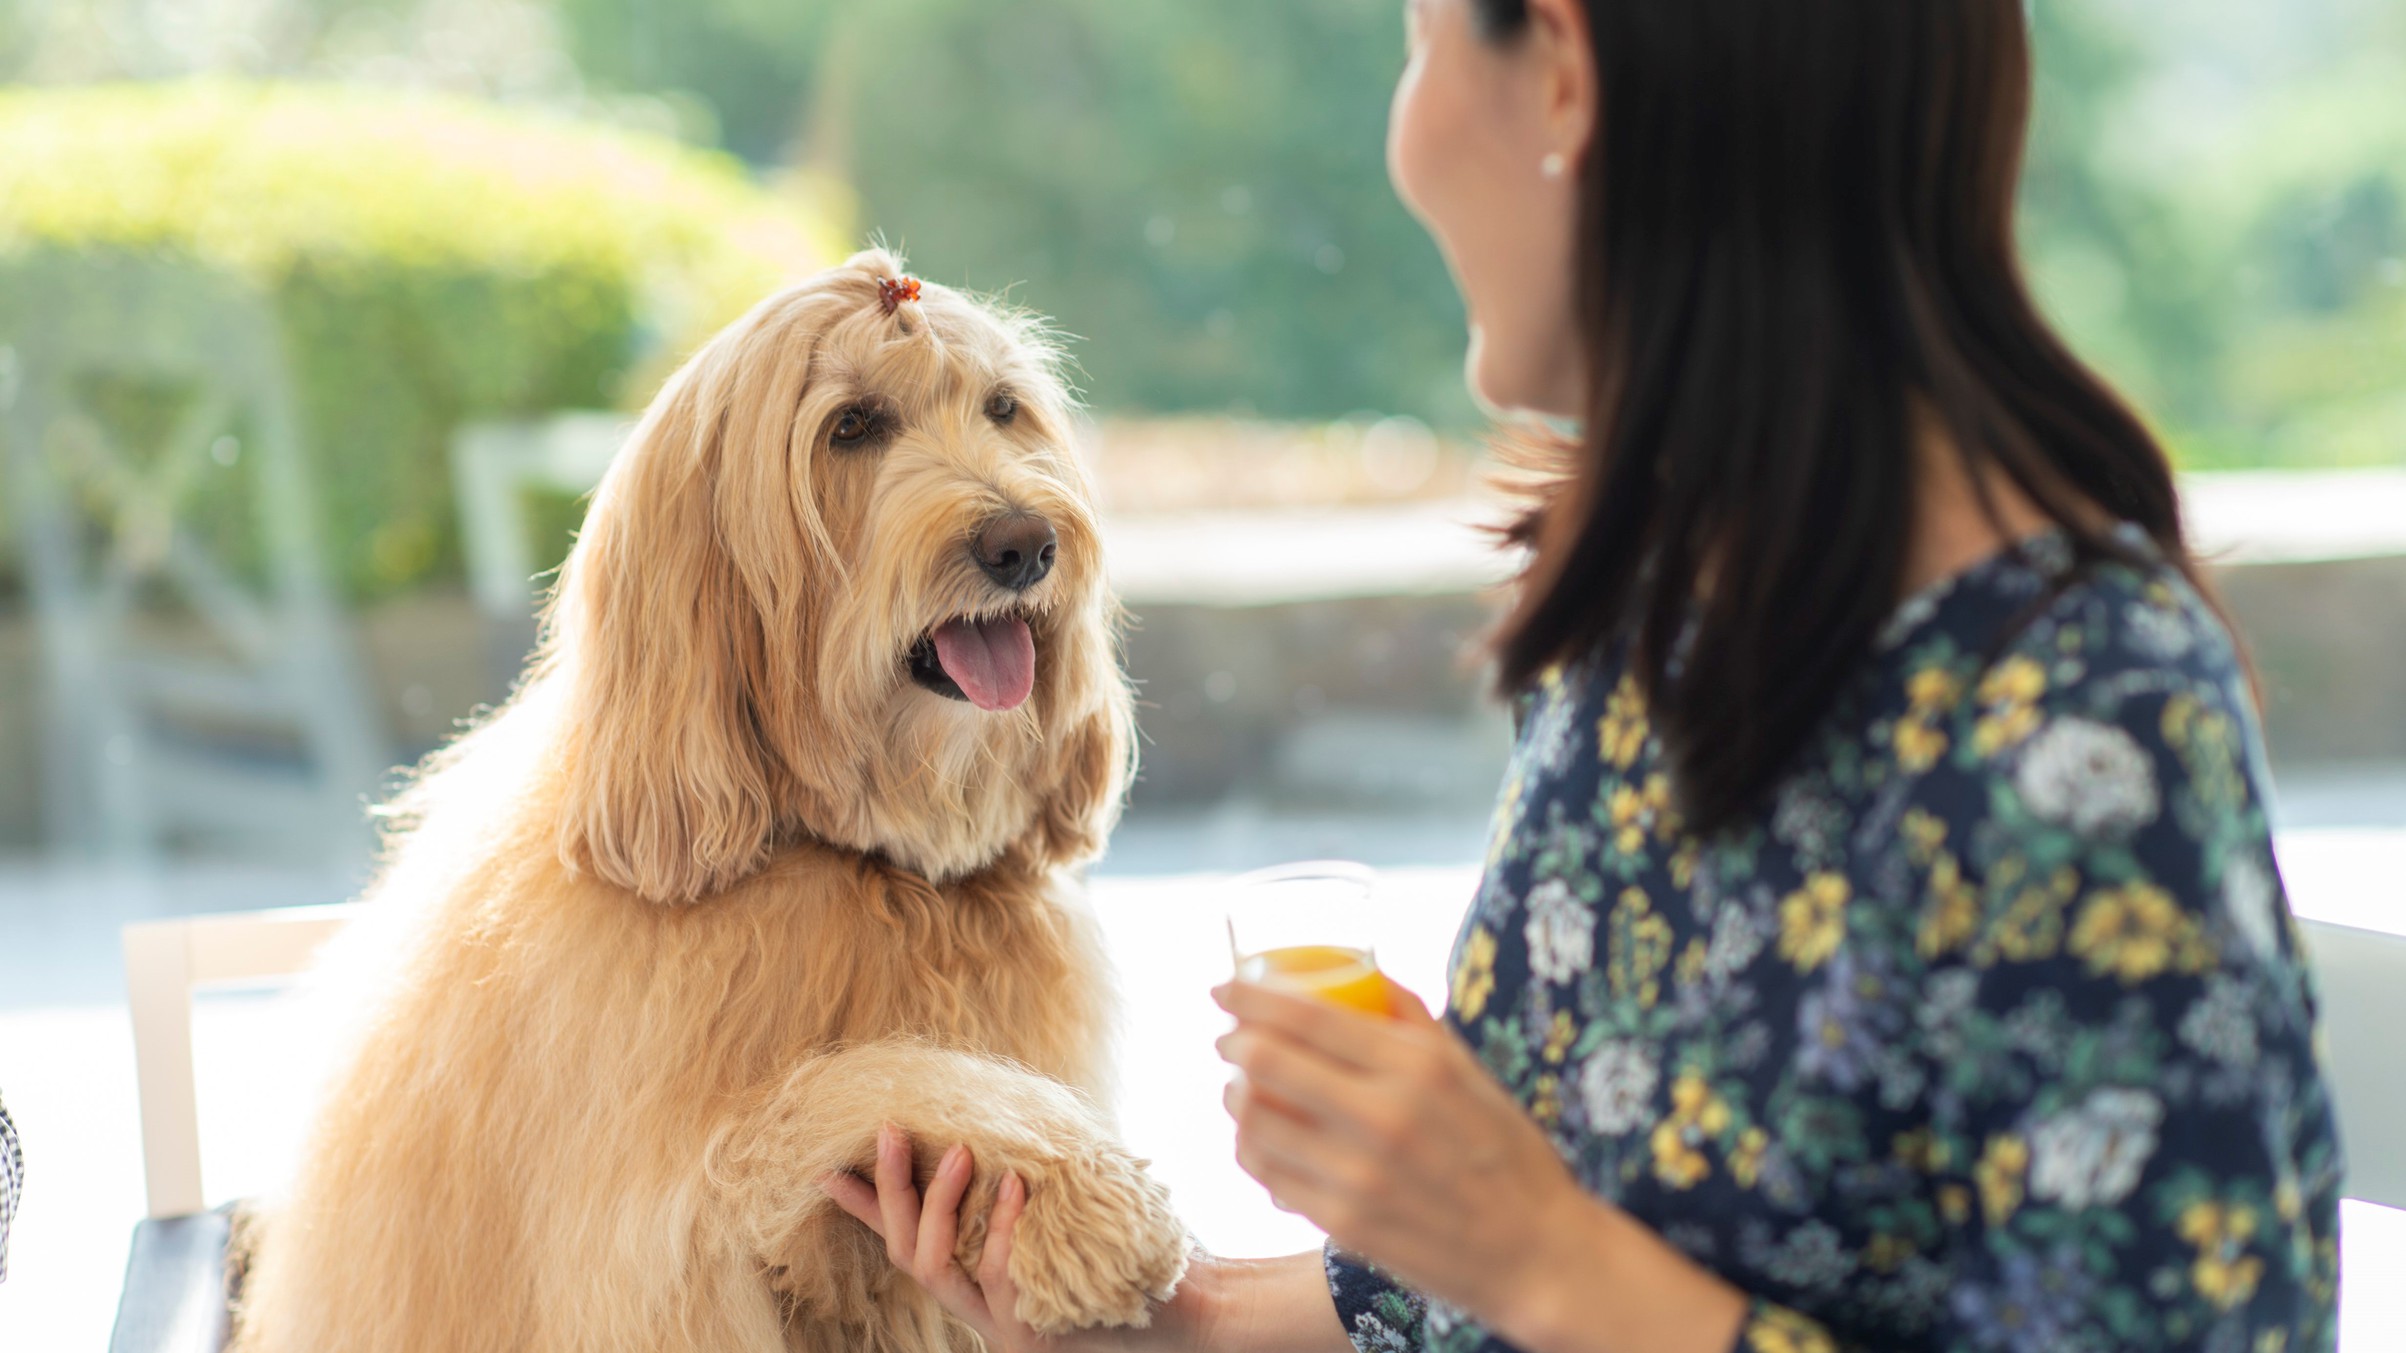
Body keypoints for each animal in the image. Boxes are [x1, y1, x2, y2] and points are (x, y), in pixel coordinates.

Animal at [229, 250, 1188, 1348]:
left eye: (1002, 408)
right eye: (852, 426)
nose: (1024, 543)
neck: (857, 866)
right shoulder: (660, 1239)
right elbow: (871, 1078)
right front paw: (1089, 1205)